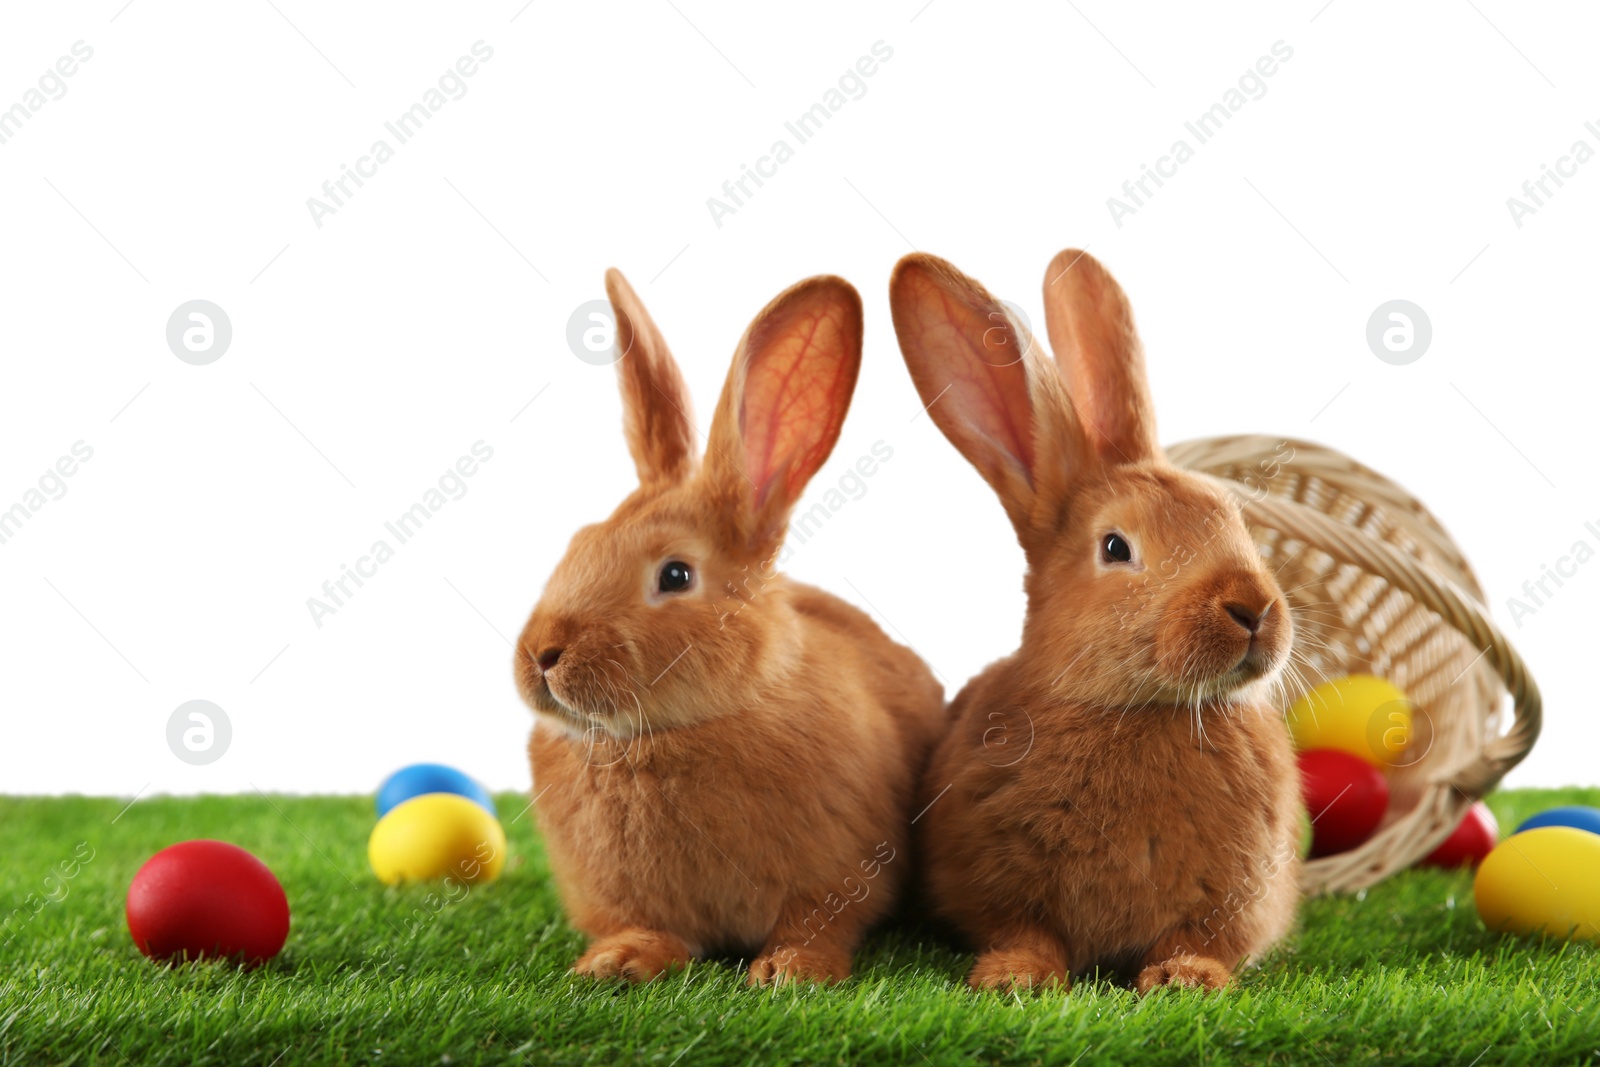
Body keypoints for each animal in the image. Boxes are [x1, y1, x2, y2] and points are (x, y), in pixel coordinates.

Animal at [512, 271, 940, 991]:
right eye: (578, 544)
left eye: (676, 574)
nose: (542, 655)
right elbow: (647, 927)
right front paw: (616, 962)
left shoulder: (835, 880)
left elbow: (816, 925)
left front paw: (790, 972)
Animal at [889, 247, 1299, 991]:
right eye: (1115, 547)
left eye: (1231, 517)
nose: (1252, 608)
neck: (1138, 707)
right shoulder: (1000, 881)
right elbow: (1027, 931)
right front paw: (1013, 978)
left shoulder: (1232, 900)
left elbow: (1197, 939)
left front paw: (1186, 980)